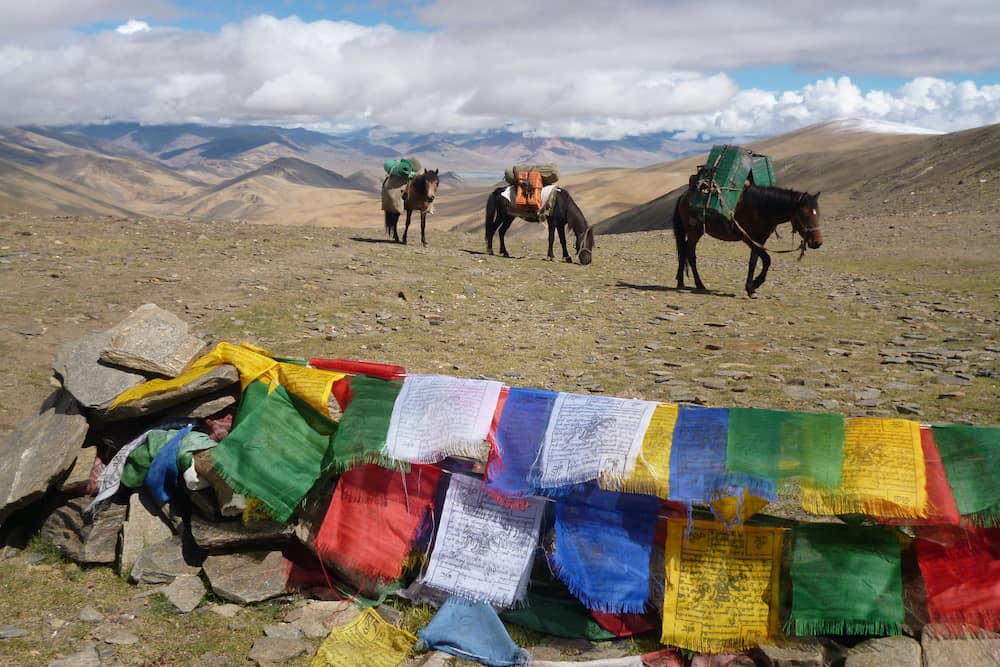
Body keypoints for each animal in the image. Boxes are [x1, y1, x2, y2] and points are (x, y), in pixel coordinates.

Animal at [672, 184, 820, 296]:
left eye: (818, 213)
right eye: (805, 214)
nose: (817, 242)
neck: (762, 208)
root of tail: (683, 196)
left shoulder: (759, 239)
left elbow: (754, 262)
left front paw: (751, 288)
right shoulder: (747, 238)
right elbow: (767, 259)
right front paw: (754, 284)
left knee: (683, 251)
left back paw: (681, 282)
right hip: (694, 232)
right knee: (690, 254)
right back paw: (699, 284)